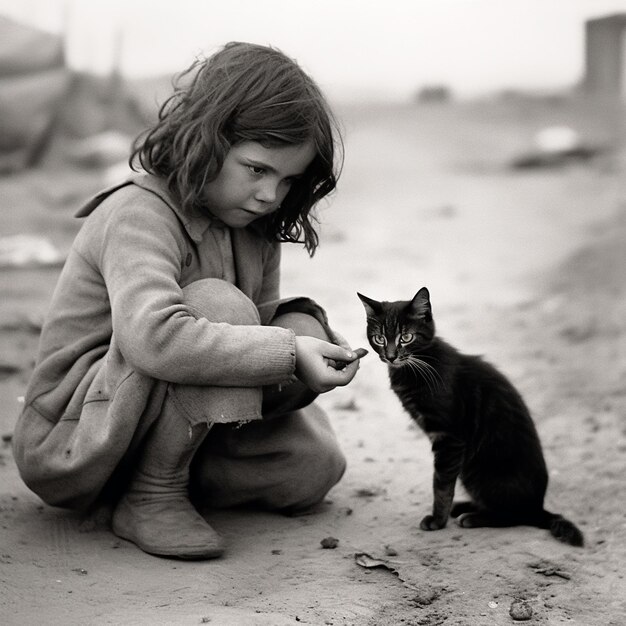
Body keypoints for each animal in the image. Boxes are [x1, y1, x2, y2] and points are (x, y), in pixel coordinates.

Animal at [358, 286, 584, 544]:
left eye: (406, 338)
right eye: (380, 339)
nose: (391, 356)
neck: (419, 364)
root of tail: (537, 507)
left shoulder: (449, 437)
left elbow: (441, 484)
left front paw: (437, 521)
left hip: (478, 469)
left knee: (515, 516)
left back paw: (474, 517)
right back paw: (465, 507)